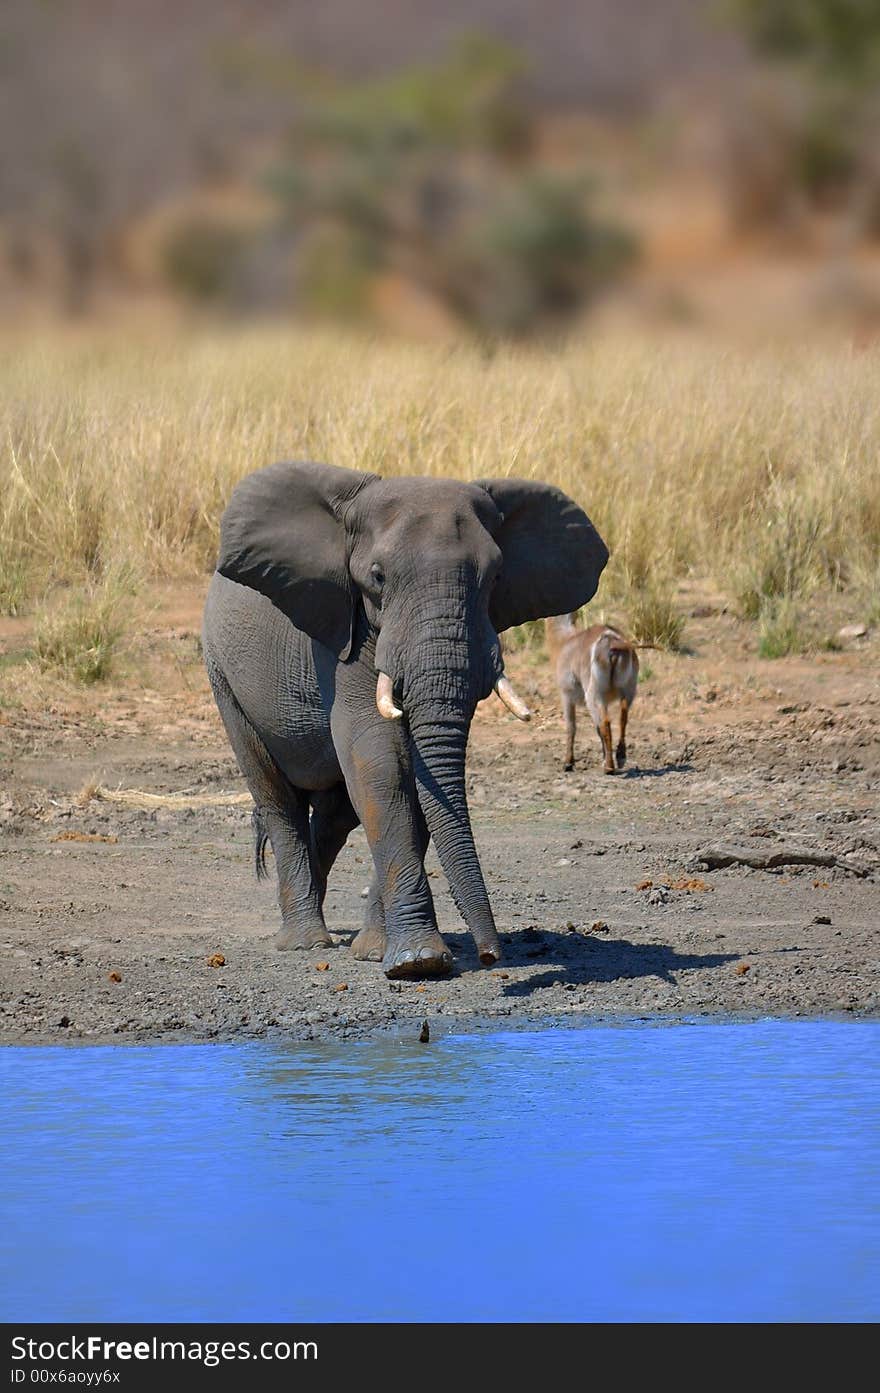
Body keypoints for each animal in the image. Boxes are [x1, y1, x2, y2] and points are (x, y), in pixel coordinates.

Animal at [203, 459, 607, 980]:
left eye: (496, 576)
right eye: (377, 577)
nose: (490, 955)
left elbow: (414, 776)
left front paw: (383, 954)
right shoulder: (348, 631)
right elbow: (381, 762)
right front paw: (418, 963)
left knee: (335, 814)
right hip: (222, 675)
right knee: (277, 798)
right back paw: (306, 943)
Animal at [545, 618, 634, 774]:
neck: (565, 640)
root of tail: (610, 640)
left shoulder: (566, 695)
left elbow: (571, 727)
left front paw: (568, 763)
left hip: (594, 696)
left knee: (605, 723)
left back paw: (609, 767)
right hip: (628, 691)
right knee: (622, 718)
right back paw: (620, 758)